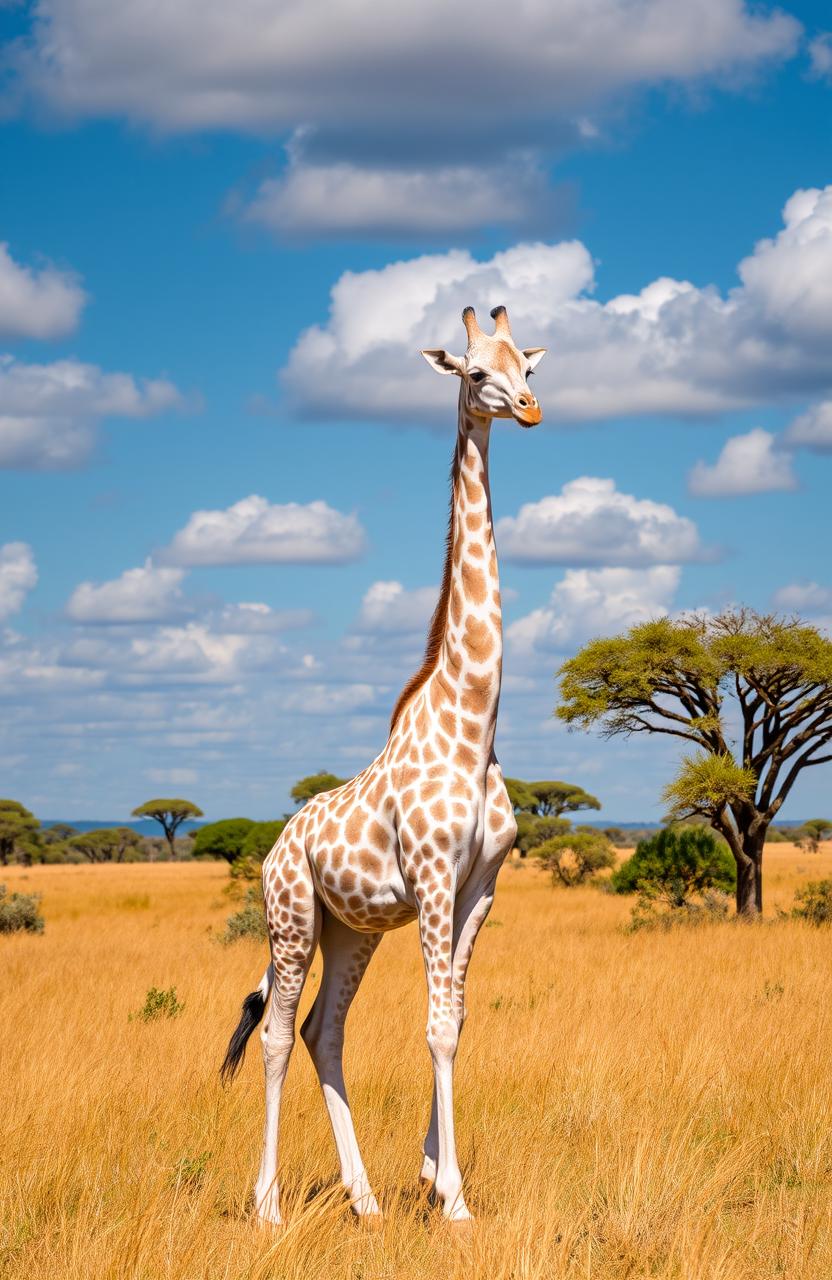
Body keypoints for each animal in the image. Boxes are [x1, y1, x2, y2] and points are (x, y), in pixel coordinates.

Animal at [220, 304, 545, 1223]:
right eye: (476, 373)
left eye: (526, 361)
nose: (530, 408)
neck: (473, 725)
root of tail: (275, 846)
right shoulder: (433, 879)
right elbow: (434, 1027)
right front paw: (456, 1199)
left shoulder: (480, 888)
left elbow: (455, 1023)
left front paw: (433, 1176)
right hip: (291, 921)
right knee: (276, 1035)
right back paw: (268, 1206)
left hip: (350, 930)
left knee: (323, 1032)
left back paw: (363, 1199)